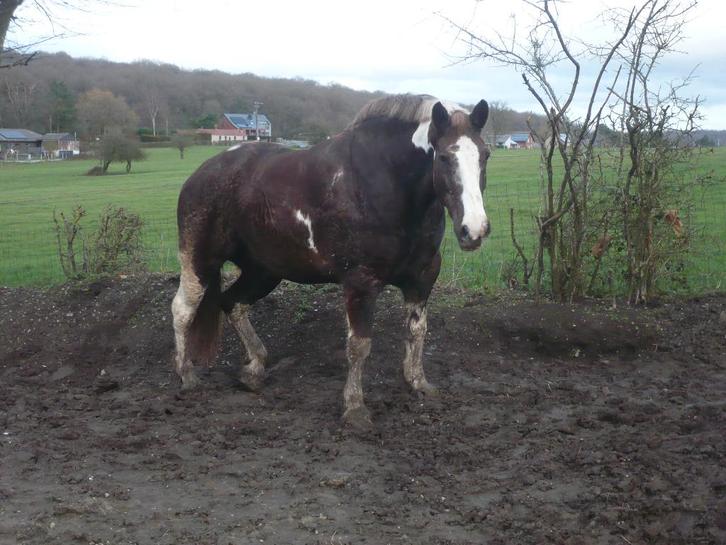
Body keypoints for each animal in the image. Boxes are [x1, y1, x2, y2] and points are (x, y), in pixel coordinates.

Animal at [172, 94, 491, 430]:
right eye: (443, 157)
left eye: (485, 155)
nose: (474, 229)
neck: (385, 182)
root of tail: (201, 174)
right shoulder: (360, 282)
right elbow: (359, 345)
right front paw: (354, 407)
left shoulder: (422, 277)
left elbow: (417, 331)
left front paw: (418, 383)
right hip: (200, 261)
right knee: (183, 309)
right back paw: (187, 375)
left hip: (264, 270)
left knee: (233, 303)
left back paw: (254, 369)